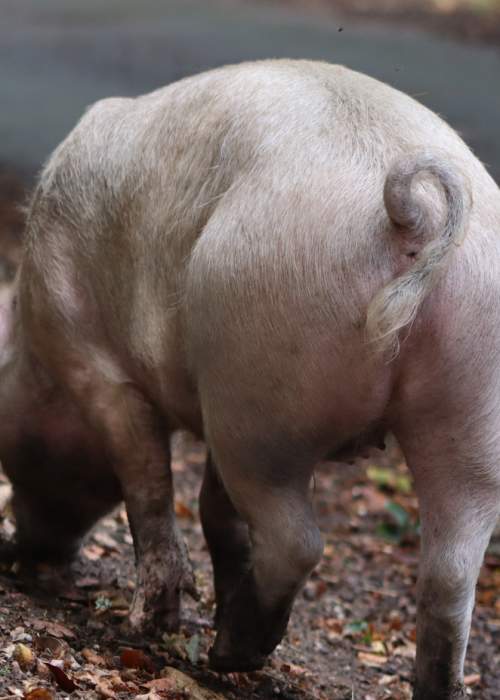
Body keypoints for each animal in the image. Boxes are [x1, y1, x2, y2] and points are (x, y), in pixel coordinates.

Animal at [0, 61, 500, 700]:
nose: (26, 551)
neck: (36, 352)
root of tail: (419, 217)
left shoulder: (95, 365)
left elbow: (147, 481)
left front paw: (152, 624)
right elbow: (215, 509)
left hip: (259, 384)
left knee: (297, 541)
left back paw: (228, 654)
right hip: (469, 400)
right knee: (449, 575)